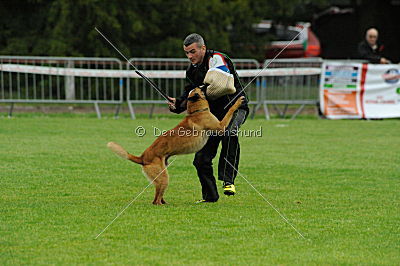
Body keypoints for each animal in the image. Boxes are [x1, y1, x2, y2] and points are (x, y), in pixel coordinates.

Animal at [108, 87, 242, 206]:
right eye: (200, 87)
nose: (206, 83)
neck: (197, 112)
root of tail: (142, 158)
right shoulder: (221, 126)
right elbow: (230, 110)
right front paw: (238, 102)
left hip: (162, 176)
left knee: (158, 195)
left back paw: (165, 202)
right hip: (163, 177)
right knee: (155, 200)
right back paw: (161, 204)